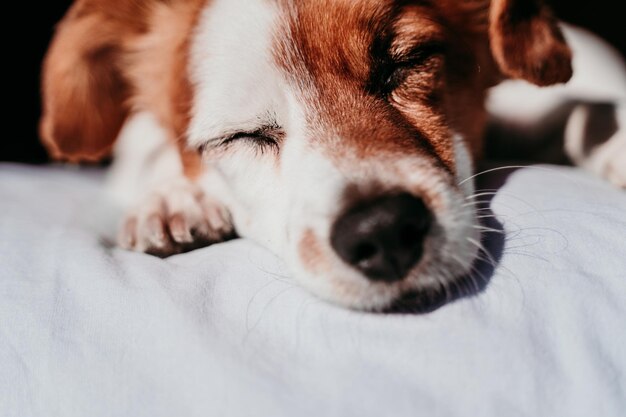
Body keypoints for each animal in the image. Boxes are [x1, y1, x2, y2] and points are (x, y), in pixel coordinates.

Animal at [40, 0, 624, 310]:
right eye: (239, 136)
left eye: (405, 62)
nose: (384, 230)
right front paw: (173, 197)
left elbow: (577, 111)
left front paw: (614, 140)